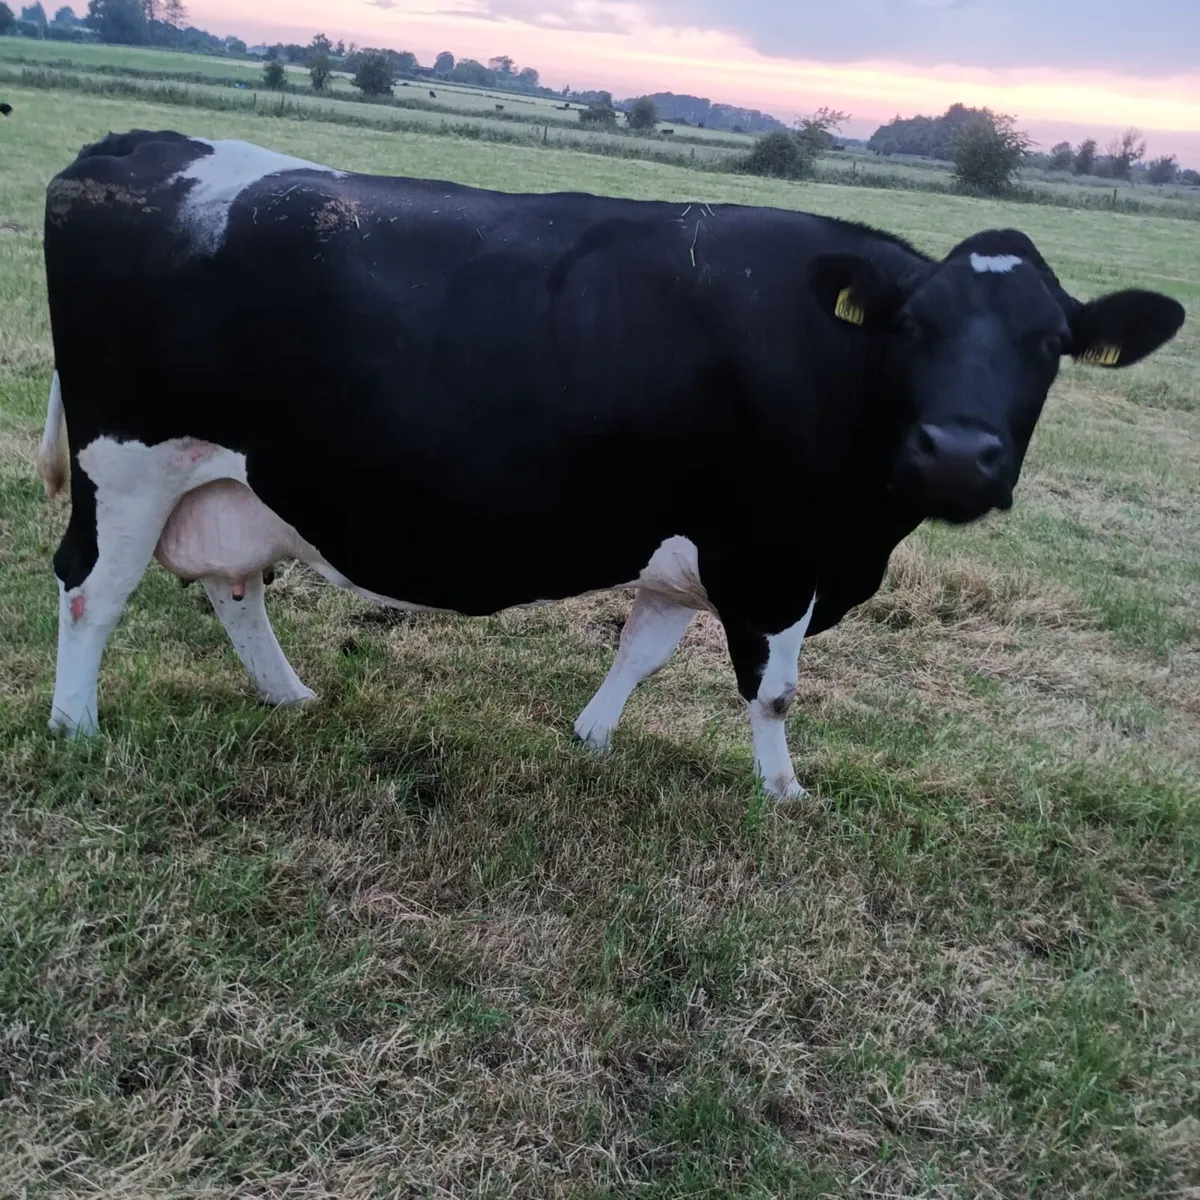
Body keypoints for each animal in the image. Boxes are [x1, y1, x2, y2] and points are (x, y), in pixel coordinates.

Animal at [38, 131, 1185, 799]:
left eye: (1050, 343)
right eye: (912, 326)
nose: (957, 452)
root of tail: (138, 145)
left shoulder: (695, 543)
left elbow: (645, 647)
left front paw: (591, 739)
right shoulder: (775, 553)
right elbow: (773, 691)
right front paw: (784, 797)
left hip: (229, 476)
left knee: (233, 584)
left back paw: (290, 697)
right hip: (128, 463)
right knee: (92, 590)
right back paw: (75, 725)